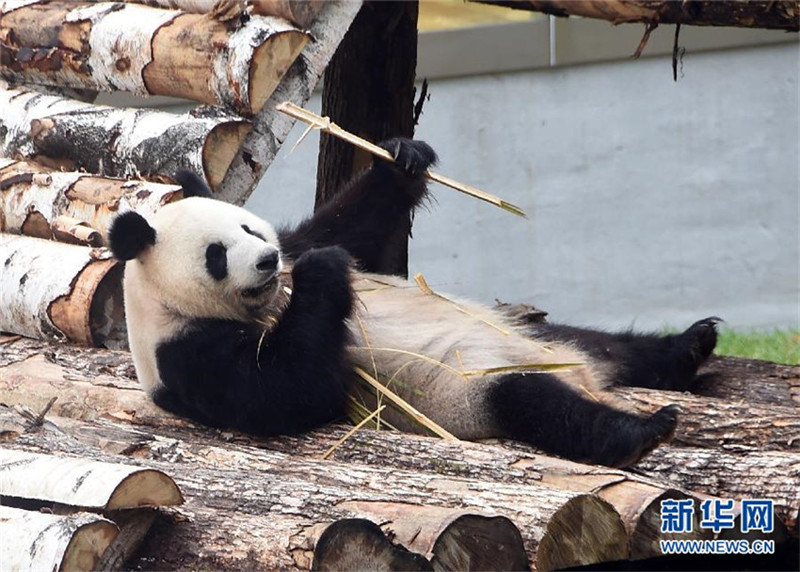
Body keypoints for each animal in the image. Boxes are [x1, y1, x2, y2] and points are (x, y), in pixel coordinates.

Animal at [108, 138, 720, 468]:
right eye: (216, 255)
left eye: (248, 227)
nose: (266, 262)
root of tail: (587, 376)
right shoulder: (187, 351)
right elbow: (287, 393)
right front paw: (322, 273)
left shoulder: (298, 239)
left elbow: (349, 230)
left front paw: (400, 159)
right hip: (471, 391)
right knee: (536, 401)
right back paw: (641, 432)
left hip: (535, 333)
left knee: (606, 344)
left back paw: (688, 347)